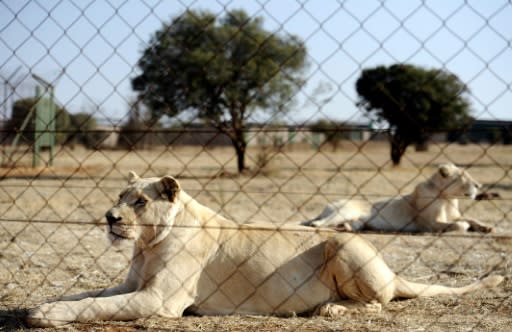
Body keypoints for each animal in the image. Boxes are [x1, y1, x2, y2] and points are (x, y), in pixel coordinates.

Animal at [26, 171, 502, 326]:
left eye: (139, 201)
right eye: (120, 196)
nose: (110, 217)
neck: (147, 245)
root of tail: (391, 269)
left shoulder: (158, 300)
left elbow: (95, 307)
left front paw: (46, 316)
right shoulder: (132, 285)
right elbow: (86, 295)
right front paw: (44, 304)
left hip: (344, 243)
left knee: (378, 303)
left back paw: (330, 309)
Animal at [302, 163, 494, 233]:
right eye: (462, 176)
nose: (479, 185)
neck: (447, 197)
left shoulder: (453, 215)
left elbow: (470, 218)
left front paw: (487, 227)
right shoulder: (429, 224)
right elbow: (461, 224)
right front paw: (468, 227)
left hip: (358, 222)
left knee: (347, 225)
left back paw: (345, 228)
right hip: (345, 210)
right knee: (321, 221)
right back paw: (317, 224)